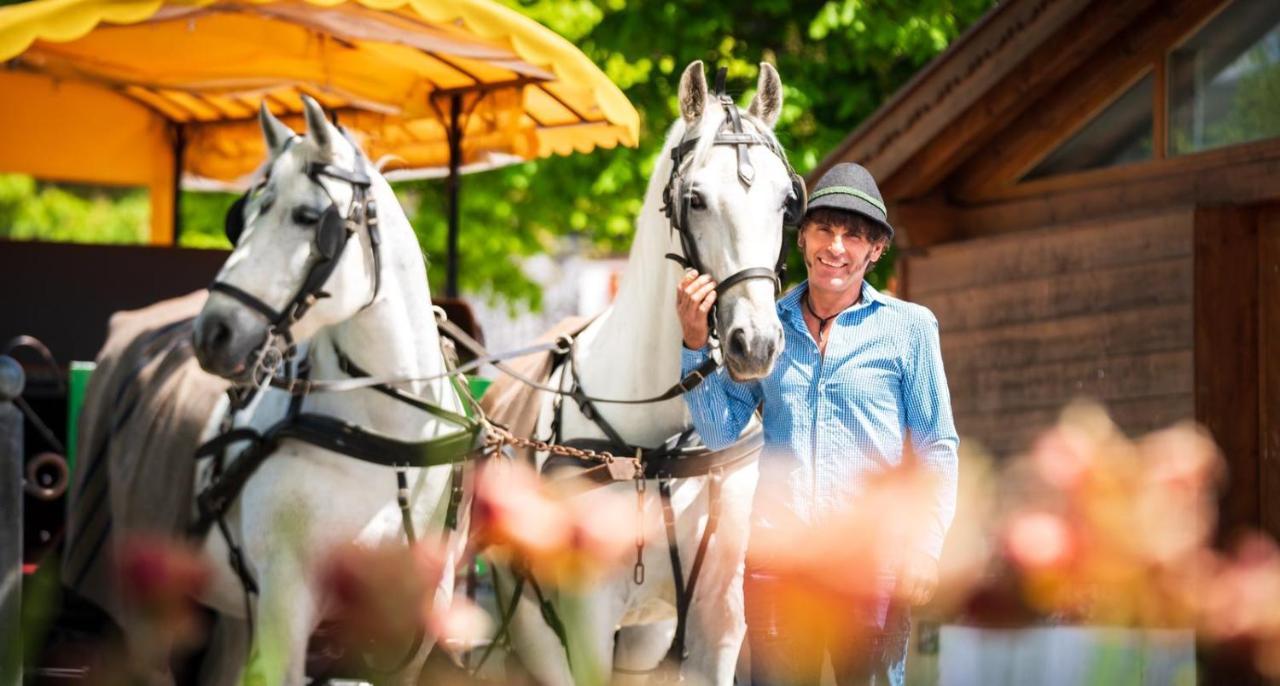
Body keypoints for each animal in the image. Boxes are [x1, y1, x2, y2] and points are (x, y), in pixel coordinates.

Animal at [186, 97, 473, 686]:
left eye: (306, 217)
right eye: (242, 219)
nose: (212, 335)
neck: (387, 443)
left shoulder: (413, 622)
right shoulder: (285, 605)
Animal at [504, 60, 793, 686]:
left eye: (787, 201)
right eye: (696, 199)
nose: (755, 343)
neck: (662, 445)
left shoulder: (719, 619)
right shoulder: (586, 623)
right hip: (534, 635)